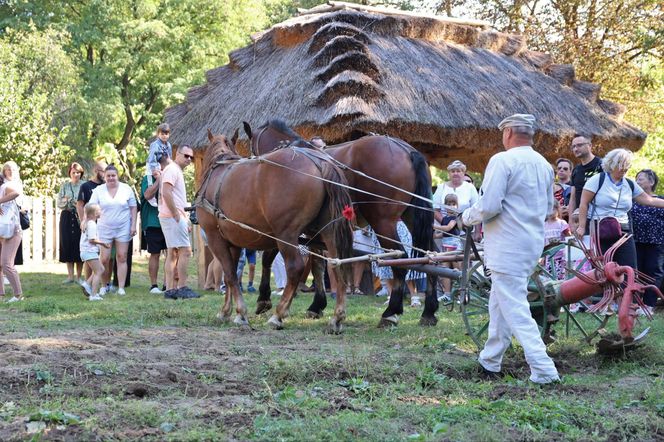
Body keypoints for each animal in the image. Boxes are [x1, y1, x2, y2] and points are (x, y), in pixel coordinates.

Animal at [196, 129, 352, 332]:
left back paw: (279, 314)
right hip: (329, 231)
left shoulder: (215, 238)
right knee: (336, 264)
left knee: (295, 268)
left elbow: (229, 274)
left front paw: (240, 313)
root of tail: (320, 163)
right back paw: (337, 317)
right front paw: (227, 311)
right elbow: (232, 276)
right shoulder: (234, 243)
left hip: (286, 234)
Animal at [244, 119, 440, 326]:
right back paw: (429, 311)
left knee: (399, 260)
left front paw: (263, 299)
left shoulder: (283, 227)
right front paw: (317, 305)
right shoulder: (315, 230)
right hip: (413, 217)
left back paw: (391, 312)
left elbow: (268, 259)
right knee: (432, 256)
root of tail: (405, 149)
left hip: (383, 222)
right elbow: (318, 264)